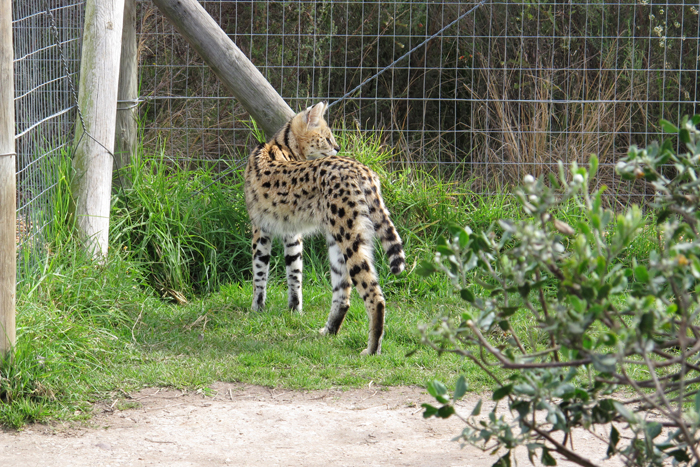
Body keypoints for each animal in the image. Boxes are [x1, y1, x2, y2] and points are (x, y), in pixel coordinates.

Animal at [243, 101, 404, 354]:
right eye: (327, 138)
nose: (337, 147)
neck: (282, 146)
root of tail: (361, 167)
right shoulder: (291, 233)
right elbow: (294, 272)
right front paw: (294, 310)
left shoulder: (260, 228)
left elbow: (259, 271)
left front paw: (257, 308)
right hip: (339, 238)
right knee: (343, 294)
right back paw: (330, 330)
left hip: (347, 236)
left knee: (373, 294)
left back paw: (372, 348)